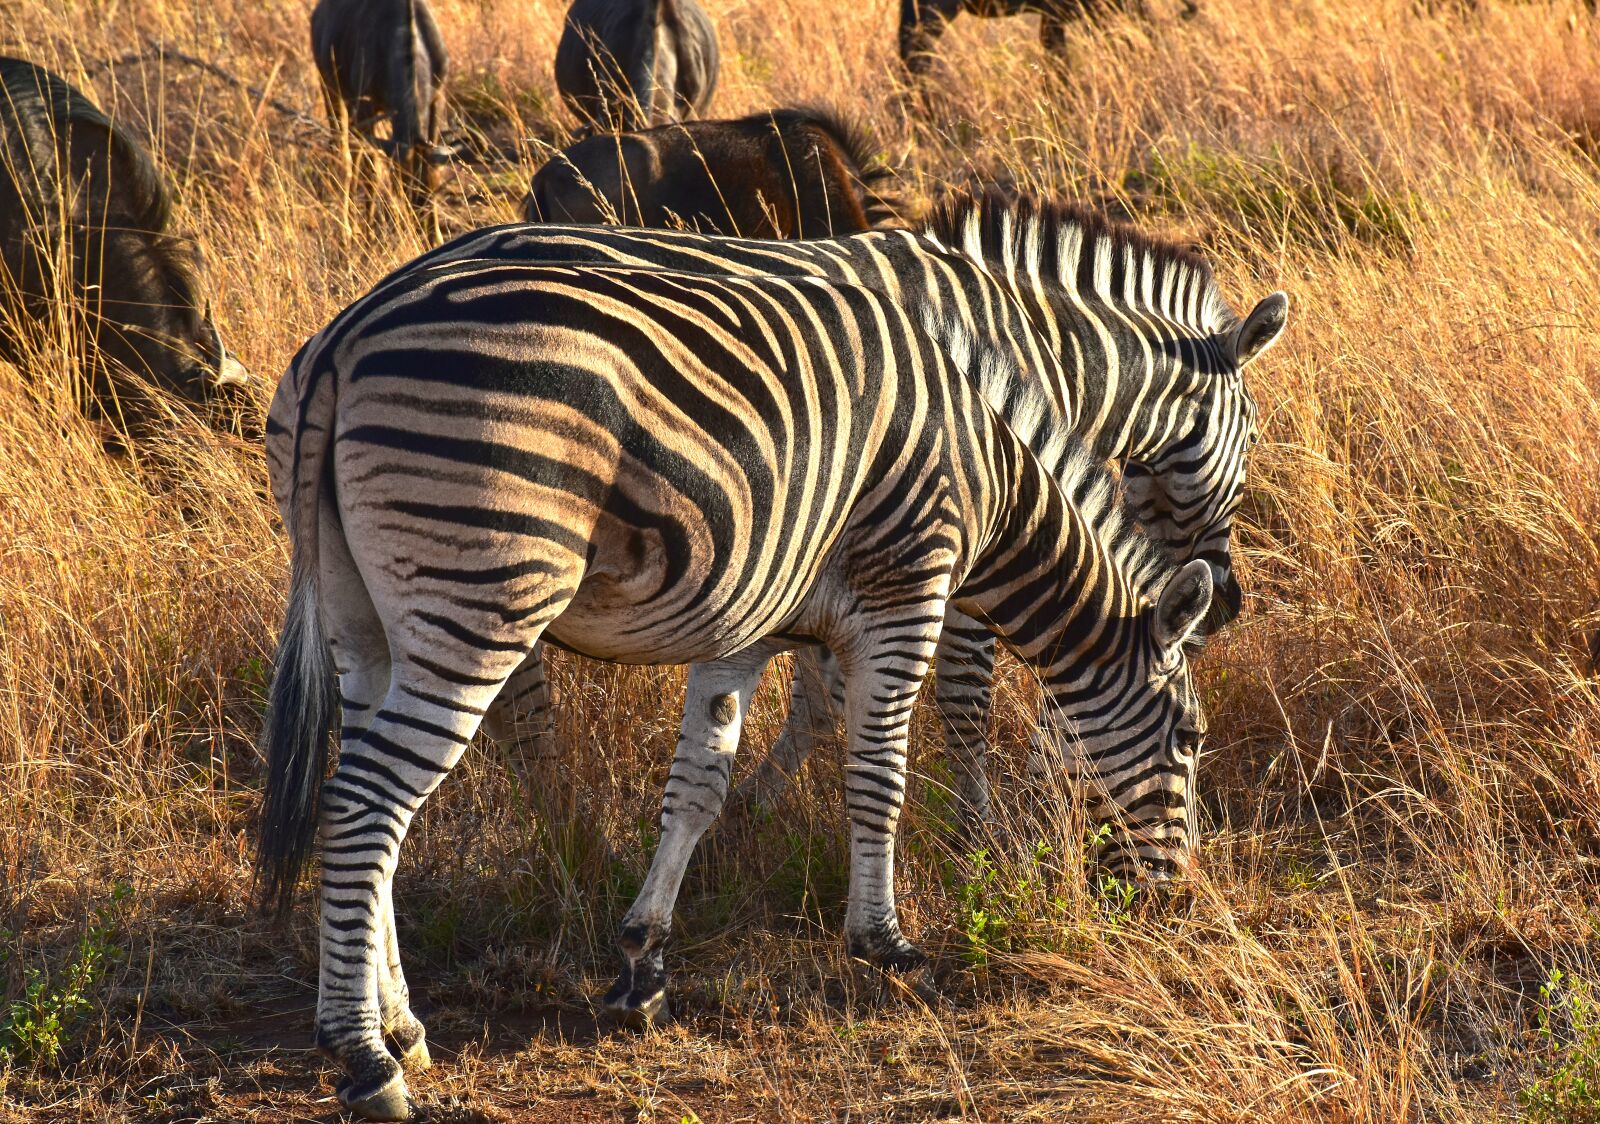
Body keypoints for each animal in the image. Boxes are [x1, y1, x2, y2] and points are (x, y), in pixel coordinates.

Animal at [257, 249, 1222, 1120]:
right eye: (1190, 738)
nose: (1174, 899)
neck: (988, 471)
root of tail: (346, 338)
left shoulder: (745, 627)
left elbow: (698, 788)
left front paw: (643, 965)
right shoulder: (909, 590)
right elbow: (880, 778)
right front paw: (886, 944)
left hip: (362, 615)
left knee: (369, 803)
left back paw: (403, 1027)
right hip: (482, 590)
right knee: (364, 806)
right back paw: (363, 1058)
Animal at [392, 192, 1288, 826]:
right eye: (1252, 435)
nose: (1229, 603)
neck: (1036, 349)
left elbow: (822, 699)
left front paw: (754, 806)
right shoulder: (959, 537)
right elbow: (964, 699)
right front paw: (976, 830)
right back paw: (554, 818)